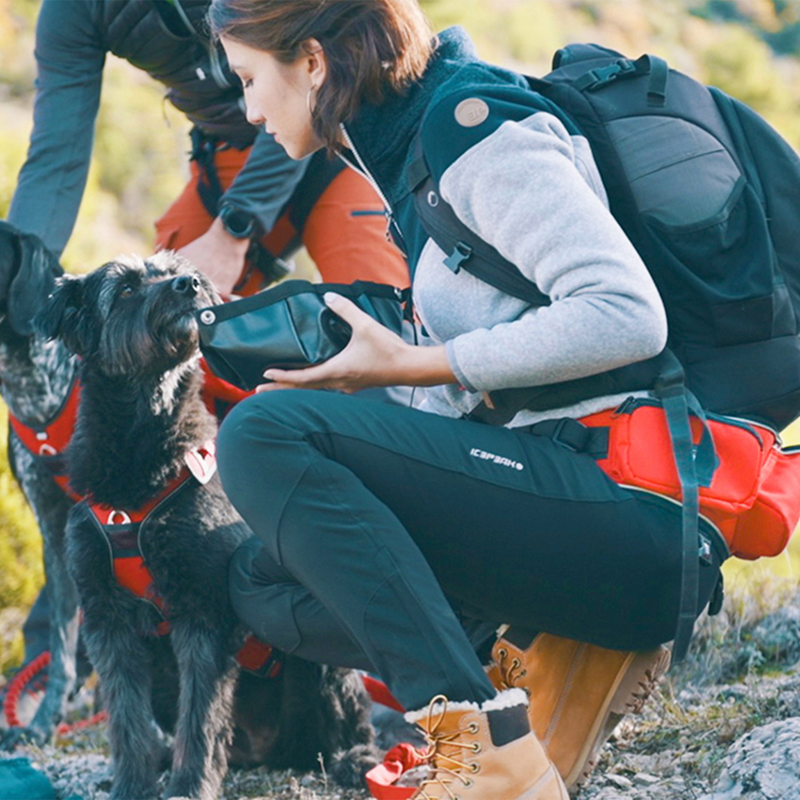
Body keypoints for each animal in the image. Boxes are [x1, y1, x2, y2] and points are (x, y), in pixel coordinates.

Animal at [34, 255, 378, 800]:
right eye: (126, 288)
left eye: (172, 269)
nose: (189, 283)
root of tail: (266, 754)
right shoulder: (108, 621)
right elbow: (126, 720)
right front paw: (132, 785)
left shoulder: (203, 612)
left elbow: (201, 720)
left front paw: (190, 787)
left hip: (321, 662)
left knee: (351, 718)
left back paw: (356, 759)